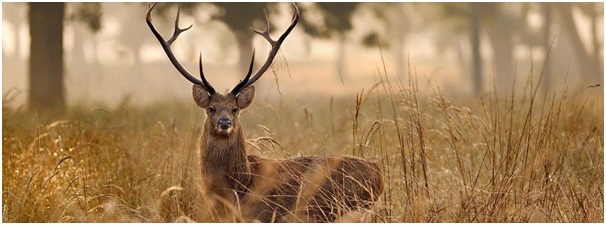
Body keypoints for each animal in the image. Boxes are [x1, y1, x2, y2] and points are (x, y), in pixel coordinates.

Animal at [147, 2, 384, 222]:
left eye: (235, 109)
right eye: (211, 109)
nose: (224, 123)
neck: (237, 189)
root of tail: (378, 173)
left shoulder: (266, 214)